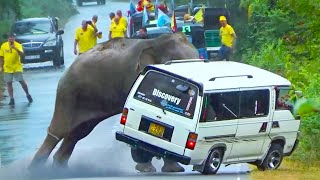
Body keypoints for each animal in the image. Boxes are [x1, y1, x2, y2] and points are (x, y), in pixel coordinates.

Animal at [28, 33, 199, 172]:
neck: (157, 42)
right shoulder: (136, 77)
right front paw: (147, 168)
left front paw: (174, 170)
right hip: (69, 93)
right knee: (59, 131)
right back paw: (35, 170)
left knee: (77, 133)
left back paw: (61, 169)